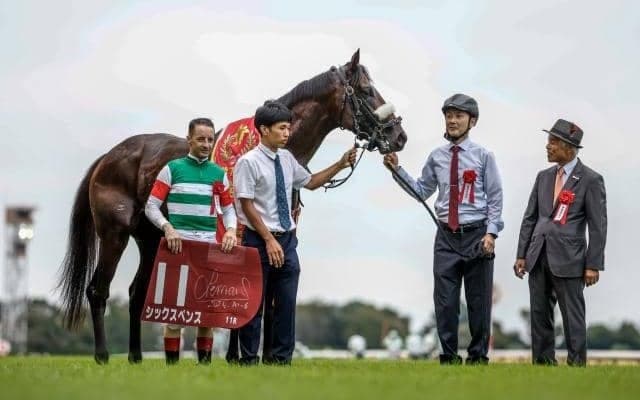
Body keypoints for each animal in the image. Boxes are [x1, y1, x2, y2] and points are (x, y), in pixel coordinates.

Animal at [58, 49, 407, 364]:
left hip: (152, 239)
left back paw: (135, 357)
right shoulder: (245, 235)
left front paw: (266, 358)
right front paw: (238, 357)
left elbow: (269, 300)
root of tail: (109, 157)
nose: (398, 135)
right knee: (98, 290)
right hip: (114, 235)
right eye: (365, 90)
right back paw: (103, 356)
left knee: (136, 293)